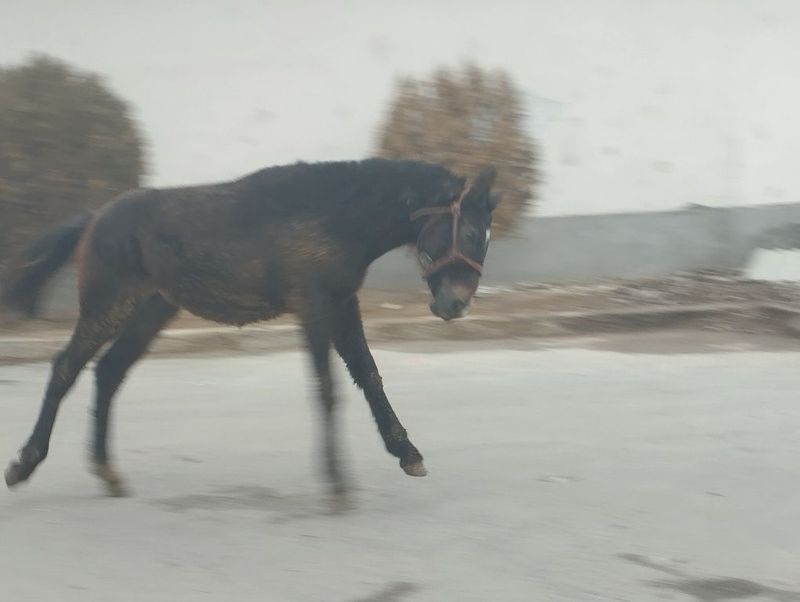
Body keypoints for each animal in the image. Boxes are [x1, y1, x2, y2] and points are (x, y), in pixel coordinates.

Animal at [1, 158, 500, 496]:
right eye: (472, 233)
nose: (455, 305)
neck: (336, 214)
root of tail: (94, 218)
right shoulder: (314, 307)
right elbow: (327, 387)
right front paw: (336, 481)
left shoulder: (342, 305)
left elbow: (369, 376)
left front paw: (407, 454)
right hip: (108, 305)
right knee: (66, 368)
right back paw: (25, 464)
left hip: (150, 311)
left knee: (108, 373)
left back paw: (106, 471)